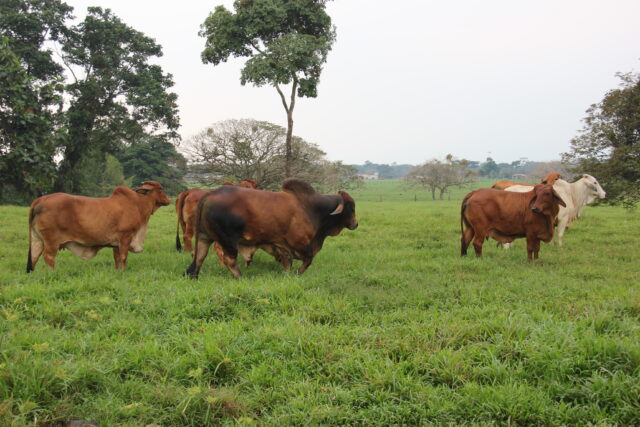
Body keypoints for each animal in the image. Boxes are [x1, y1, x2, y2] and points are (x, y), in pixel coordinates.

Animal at [186, 179, 360, 280]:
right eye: (350, 206)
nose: (356, 224)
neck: (313, 208)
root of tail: (210, 194)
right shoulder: (300, 243)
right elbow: (308, 259)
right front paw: (298, 273)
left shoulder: (281, 245)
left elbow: (288, 262)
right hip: (228, 241)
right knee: (229, 260)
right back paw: (240, 277)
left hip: (204, 237)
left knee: (199, 257)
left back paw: (193, 276)